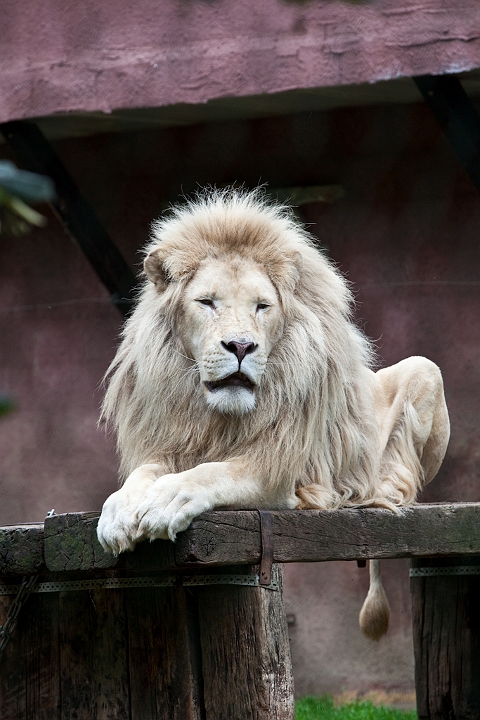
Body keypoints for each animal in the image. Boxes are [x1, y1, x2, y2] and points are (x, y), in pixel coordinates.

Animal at [97, 189, 449, 640]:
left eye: (262, 307)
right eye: (207, 303)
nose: (241, 346)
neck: (220, 417)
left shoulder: (279, 472)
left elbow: (212, 473)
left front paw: (165, 501)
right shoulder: (174, 446)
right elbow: (142, 475)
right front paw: (118, 512)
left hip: (424, 368)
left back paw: (376, 492)